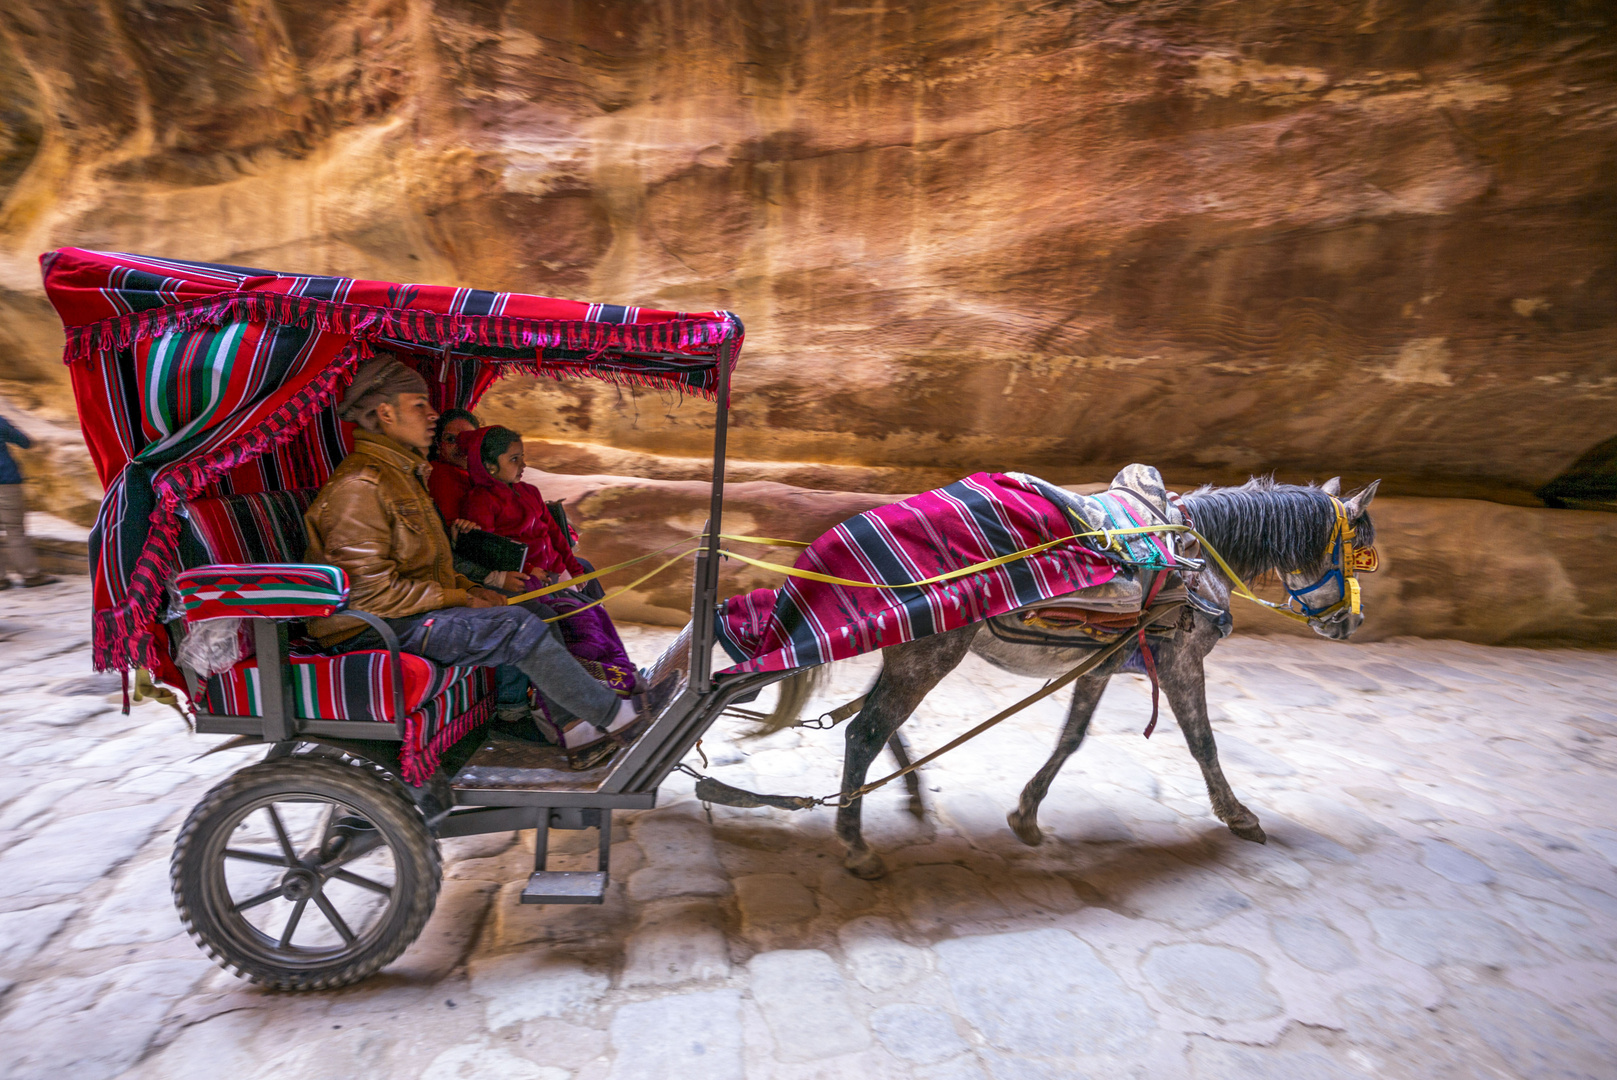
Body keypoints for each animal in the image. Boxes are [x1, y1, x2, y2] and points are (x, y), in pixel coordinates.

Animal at [643, 475, 1377, 879]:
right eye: (1359, 552)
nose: (1350, 625)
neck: (1193, 548)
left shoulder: (1104, 660)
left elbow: (1072, 735)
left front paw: (1026, 814)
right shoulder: (1179, 658)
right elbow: (1202, 742)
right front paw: (1238, 815)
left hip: (909, 649)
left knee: (873, 723)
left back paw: (908, 798)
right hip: (930, 653)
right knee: (864, 732)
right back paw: (854, 844)